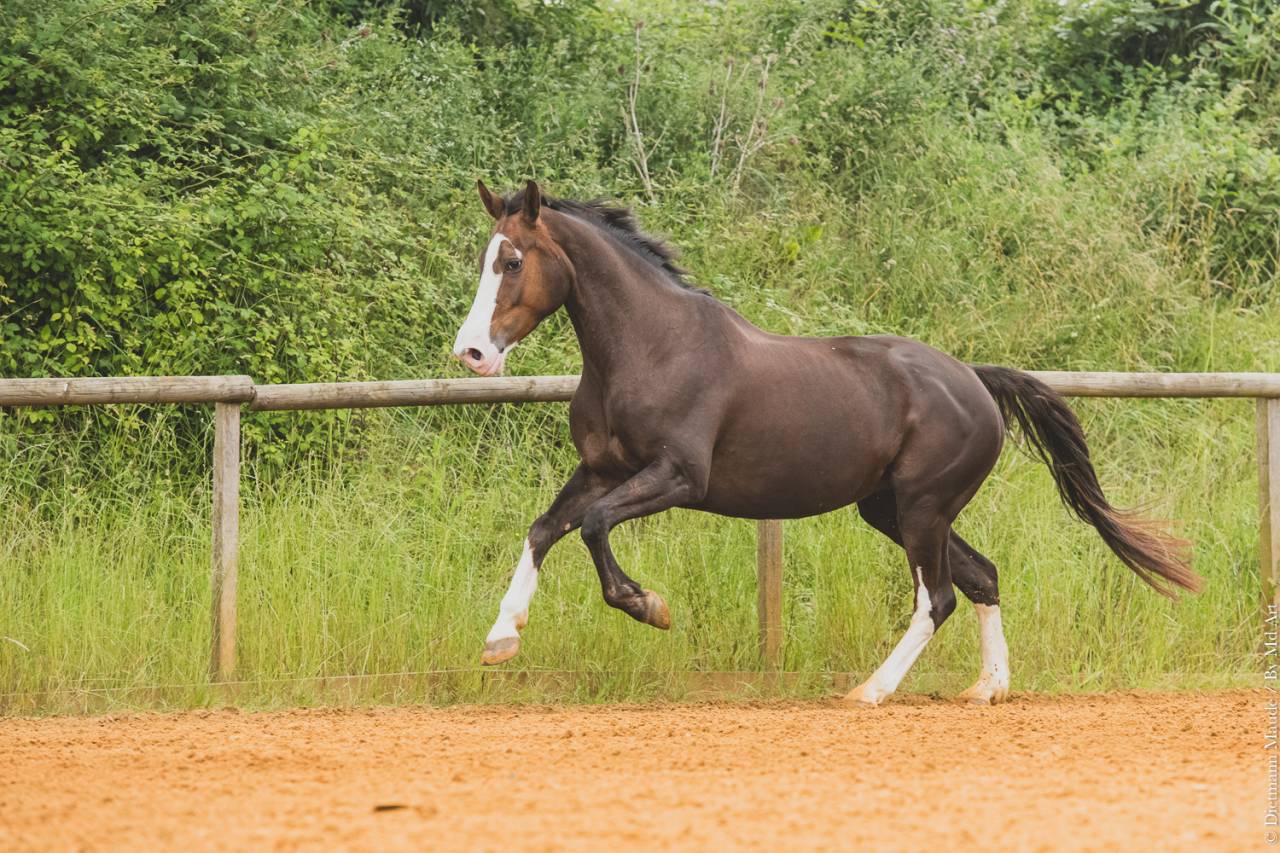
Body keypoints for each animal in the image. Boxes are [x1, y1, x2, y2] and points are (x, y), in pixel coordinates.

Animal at [452, 180, 1200, 706]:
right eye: (483, 259)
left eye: (512, 260)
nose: (472, 352)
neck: (652, 348)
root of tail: (975, 380)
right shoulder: (602, 469)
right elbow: (545, 528)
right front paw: (500, 638)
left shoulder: (678, 476)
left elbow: (594, 527)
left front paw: (649, 606)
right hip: (891, 508)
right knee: (982, 575)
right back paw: (988, 687)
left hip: (923, 507)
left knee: (938, 597)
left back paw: (870, 690)